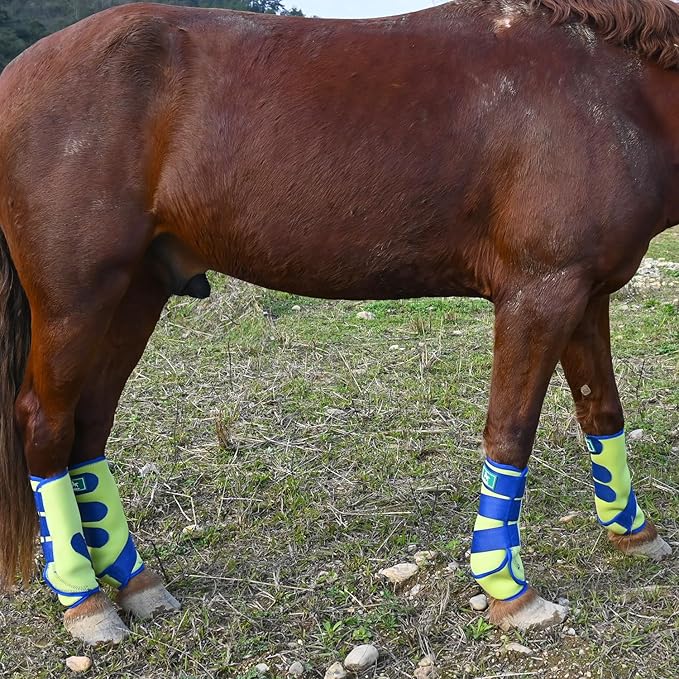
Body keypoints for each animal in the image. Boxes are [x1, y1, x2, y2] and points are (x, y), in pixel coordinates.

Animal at [0, 0, 676, 645]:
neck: (608, 87)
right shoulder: (541, 292)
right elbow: (510, 433)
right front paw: (510, 589)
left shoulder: (585, 293)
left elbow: (602, 413)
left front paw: (636, 535)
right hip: (76, 300)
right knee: (45, 423)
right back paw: (83, 600)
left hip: (137, 291)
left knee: (88, 426)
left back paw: (134, 582)